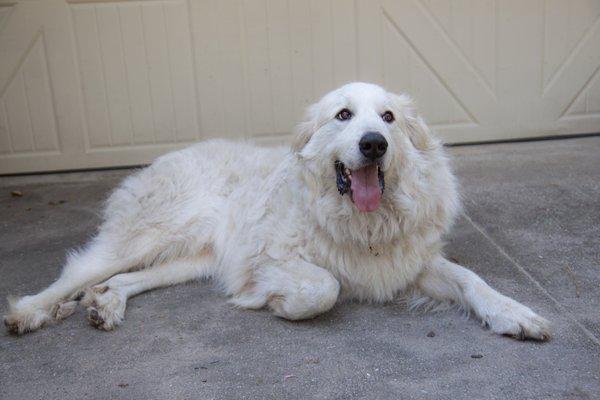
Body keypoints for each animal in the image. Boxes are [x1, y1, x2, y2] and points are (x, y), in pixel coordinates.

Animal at [4, 83, 552, 340]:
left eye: (389, 118)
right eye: (344, 115)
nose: (374, 144)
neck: (363, 223)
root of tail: (165, 155)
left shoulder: (411, 261)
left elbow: (472, 280)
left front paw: (515, 313)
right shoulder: (268, 257)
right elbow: (324, 287)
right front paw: (276, 304)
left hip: (193, 259)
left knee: (123, 279)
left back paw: (105, 303)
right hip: (145, 236)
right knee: (80, 269)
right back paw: (31, 311)